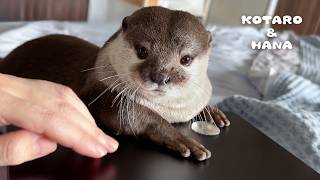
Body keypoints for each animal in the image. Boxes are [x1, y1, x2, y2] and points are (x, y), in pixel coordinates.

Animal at [0, 7, 230, 161]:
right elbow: (141, 116)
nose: (160, 76)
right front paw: (181, 139)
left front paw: (213, 112)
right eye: (142, 51)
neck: (171, 112)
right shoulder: (99, 92)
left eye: (186, 59)